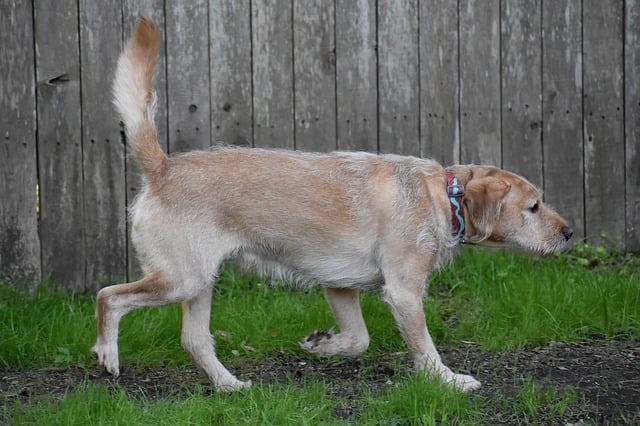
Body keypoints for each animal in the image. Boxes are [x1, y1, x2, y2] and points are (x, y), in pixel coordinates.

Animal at [91, 19, 576, 392]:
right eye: (534, 207)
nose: (570, 232)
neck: (443, 195)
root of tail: (163, 168)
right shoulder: (403, 293)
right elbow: (424, 349)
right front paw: (448, 381)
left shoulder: (340, 286)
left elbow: (358, 339)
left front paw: (322, 346)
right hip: (180, 279)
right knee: (108, 296)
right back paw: (108, 353)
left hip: (198, 283)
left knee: (194, 341)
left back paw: (229, 385)